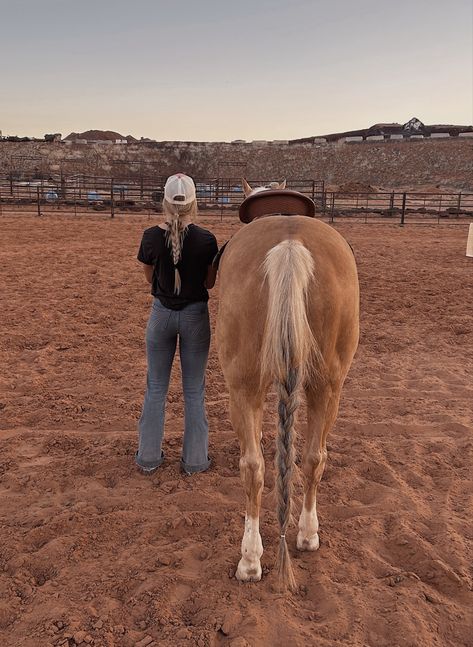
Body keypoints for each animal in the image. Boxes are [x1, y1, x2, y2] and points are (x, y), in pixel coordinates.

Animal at [215, 180, 358, 588]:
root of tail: (290, 246)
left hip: (243, 387)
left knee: (253, 467)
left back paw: (250, 560)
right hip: (328, 385)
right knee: (313, 457)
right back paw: (307, 535)